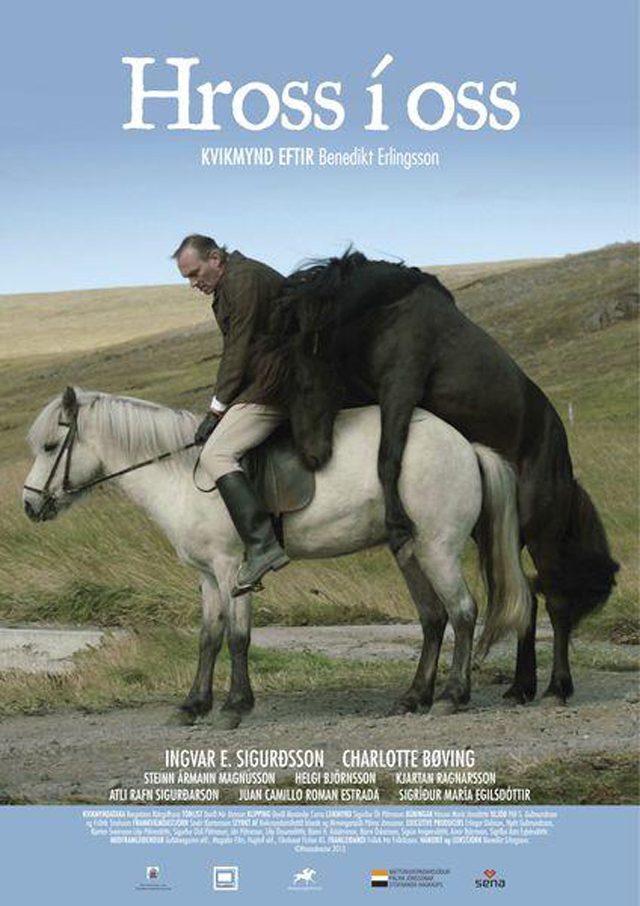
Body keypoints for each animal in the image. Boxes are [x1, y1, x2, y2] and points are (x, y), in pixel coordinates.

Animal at [23, 386, 531, 727]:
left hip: (437, 548)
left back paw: (451, 695)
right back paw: (413, 697)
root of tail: (465, 445)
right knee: (432, 619)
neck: (183, 475)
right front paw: (192, 705)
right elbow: (208, 638)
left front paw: (234, 707)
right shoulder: (208, 577)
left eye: (49, 446)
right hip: (408, 551)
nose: (29, 505)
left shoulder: (234, 568)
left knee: (463, 612)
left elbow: (238, 638)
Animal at [257, 250, 619, 706]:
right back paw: (520, 686)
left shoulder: (400, 388)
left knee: (554, 600)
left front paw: (397, 522)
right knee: (526, 601)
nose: (312, 455)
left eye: (303, 383)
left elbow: (387, 456)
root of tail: (563, 458)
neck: (386, 310)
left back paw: (556, 687)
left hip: (543, 534)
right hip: (497, 532)